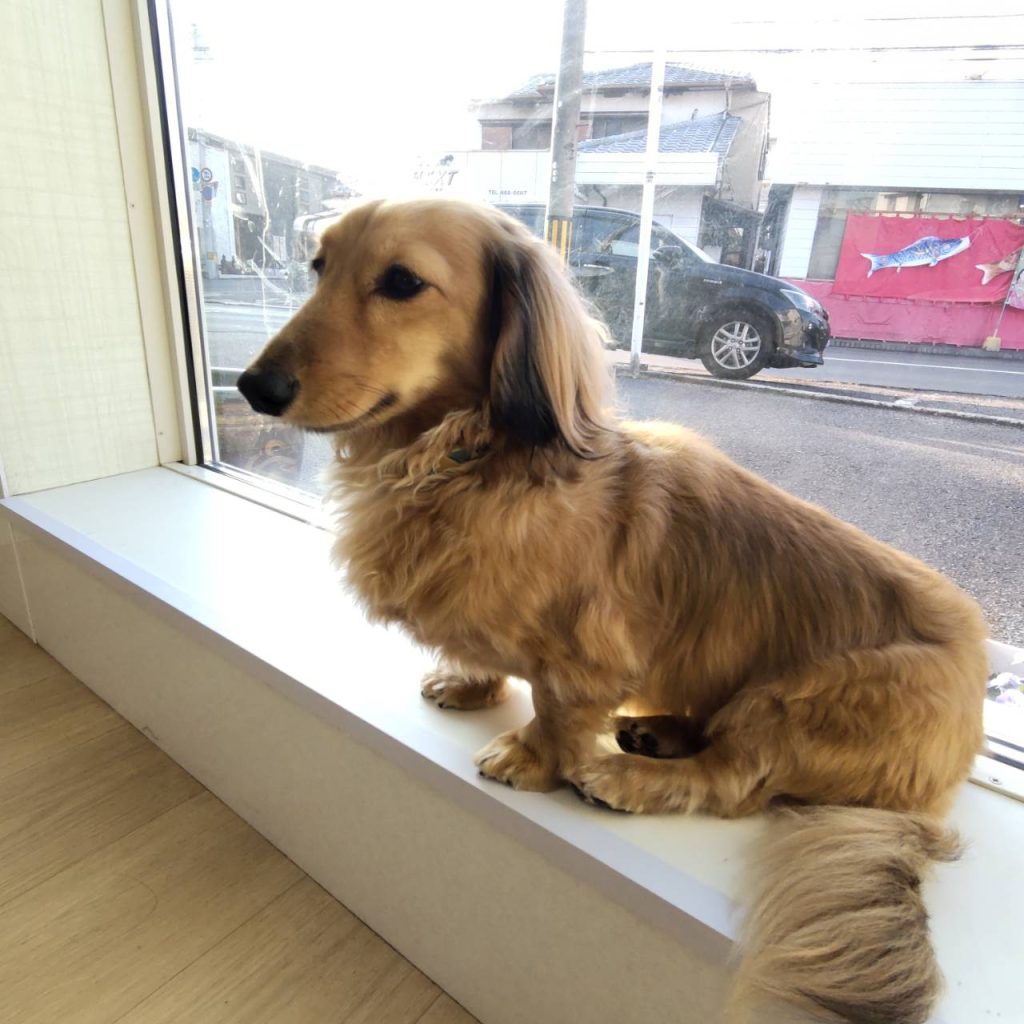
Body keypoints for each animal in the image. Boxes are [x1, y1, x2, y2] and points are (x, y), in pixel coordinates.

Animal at [238, 197, 988, 1024]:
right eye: (318, 266)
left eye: (402, 282)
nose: (252, 387)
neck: (468, 464)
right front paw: (469, 681)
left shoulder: (587, 656)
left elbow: (558, 709)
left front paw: (530, 756)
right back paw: (657, 732)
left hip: (801, 696)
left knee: (732, 780)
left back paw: (630, 774)